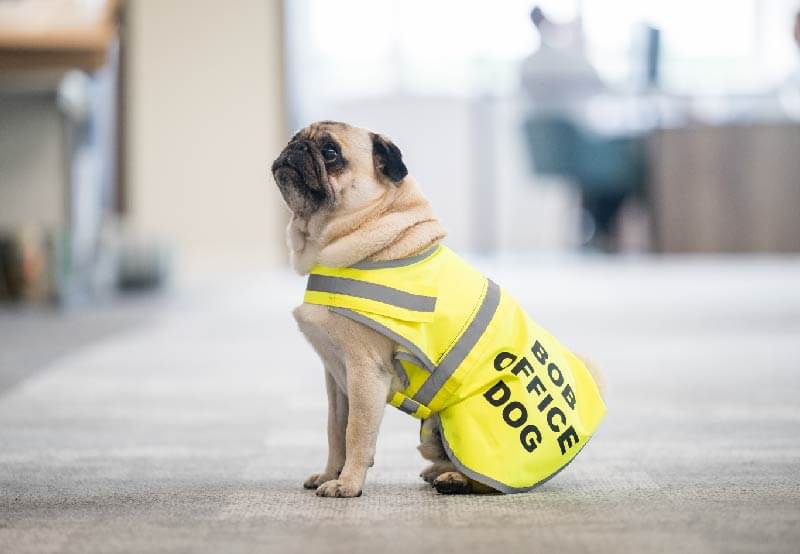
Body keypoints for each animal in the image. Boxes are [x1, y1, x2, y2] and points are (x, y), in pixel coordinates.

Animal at [272, 119, 604, 496]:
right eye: (295, 138)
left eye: (330, 152)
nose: (295, 147)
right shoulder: (336, 377)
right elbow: (335, 431)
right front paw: (330, 474)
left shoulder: (365, 371)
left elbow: (357, 432)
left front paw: (348, 484)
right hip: (432, 430)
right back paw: (437, 471)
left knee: (488, 483)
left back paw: (455, 480)